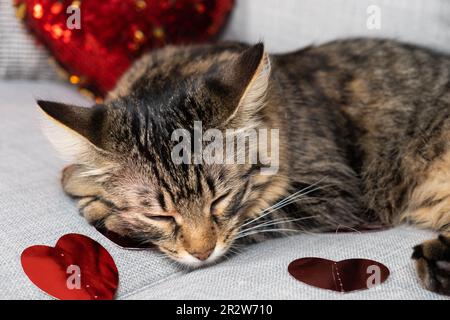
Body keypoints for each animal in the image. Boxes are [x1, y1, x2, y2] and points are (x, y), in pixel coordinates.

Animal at [37, 38, 450, 296]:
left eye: (220, 200)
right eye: (160, 216)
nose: (202, 253)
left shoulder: (332, 188)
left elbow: (261, 216)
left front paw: (98, 204)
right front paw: (82, 179)